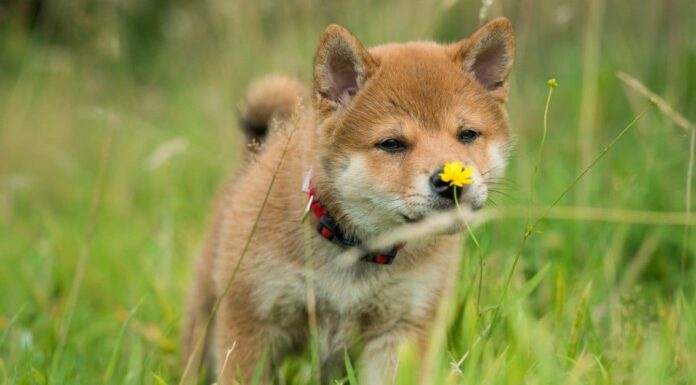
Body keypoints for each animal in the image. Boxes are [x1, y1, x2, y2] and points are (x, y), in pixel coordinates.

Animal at [182, 17, 512, 380]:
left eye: (467, 134)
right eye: (392, 143)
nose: (450, 182)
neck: (355, 249)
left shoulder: (401, 327)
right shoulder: (251, 323)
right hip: (206, 319)